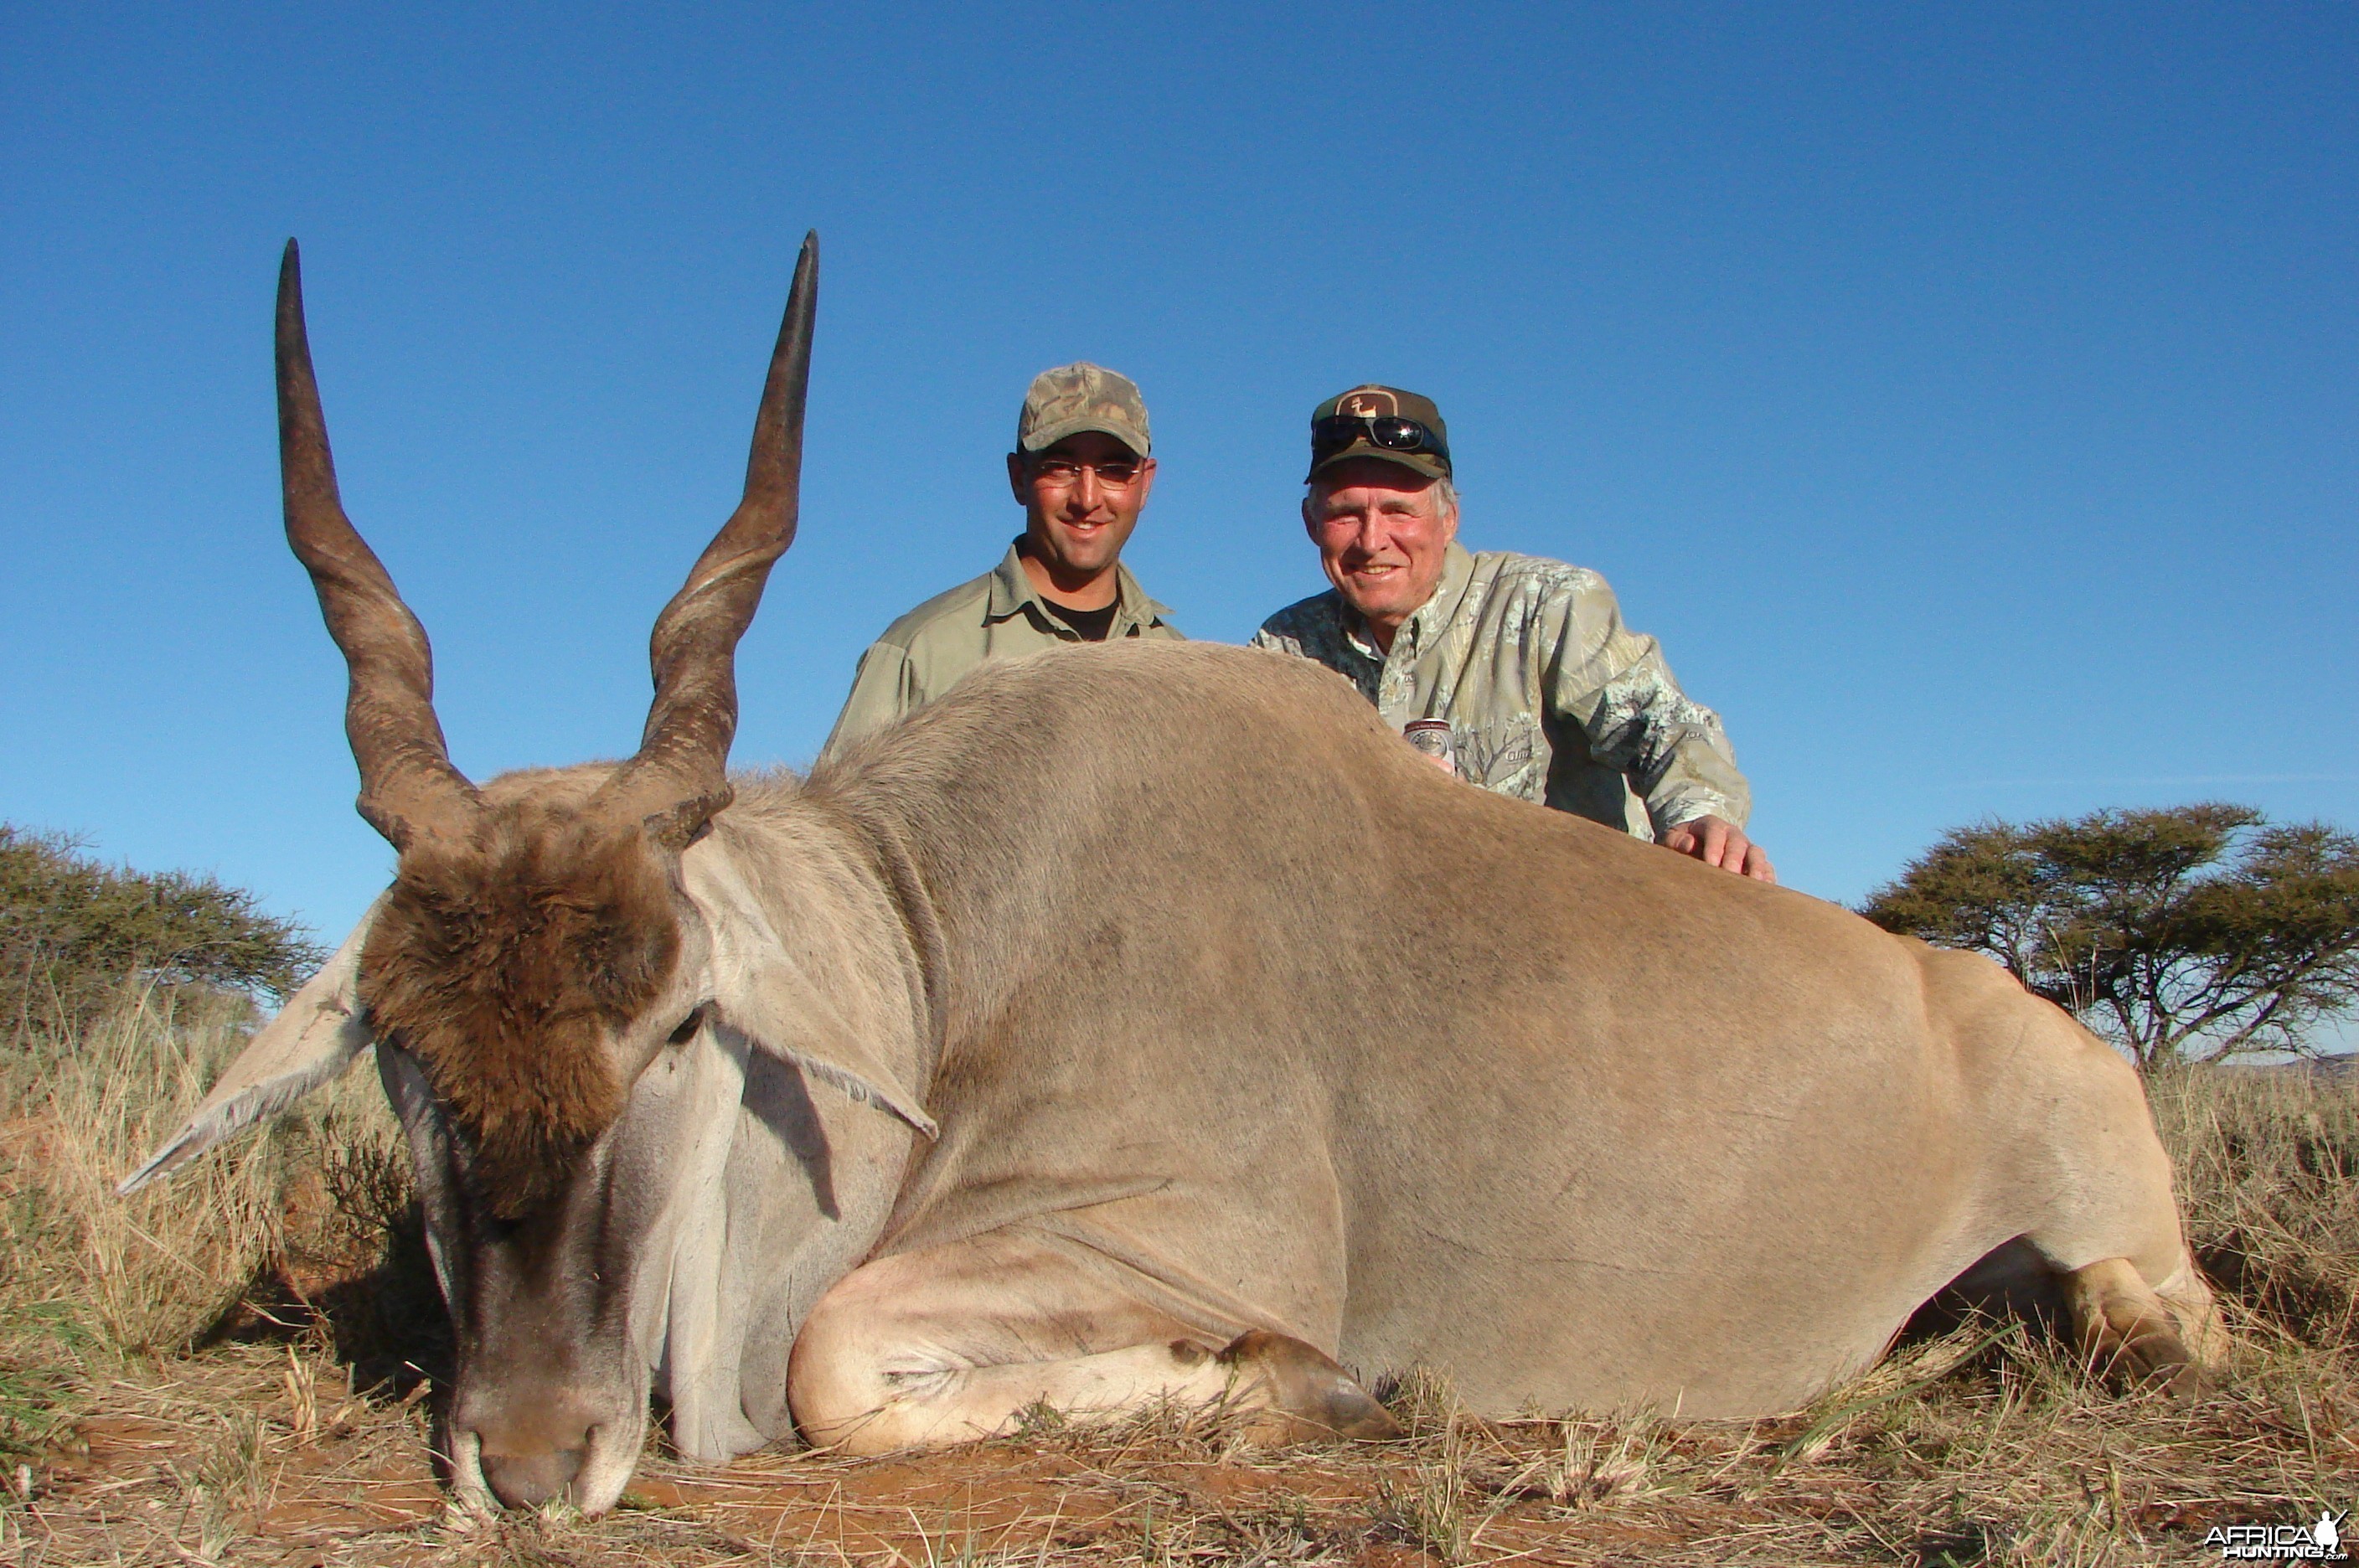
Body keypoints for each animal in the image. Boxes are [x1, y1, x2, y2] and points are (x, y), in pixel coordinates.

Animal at [129, 230, 2217, 1509]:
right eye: (402, 1055)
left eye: (677, 1031)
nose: (532, 1457)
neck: (946, 947)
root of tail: (2008, 1007)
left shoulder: (1190, 1235)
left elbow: (836, 1360)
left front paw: (1315, 1388)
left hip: (2128, 1262)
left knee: (2153, 1331)